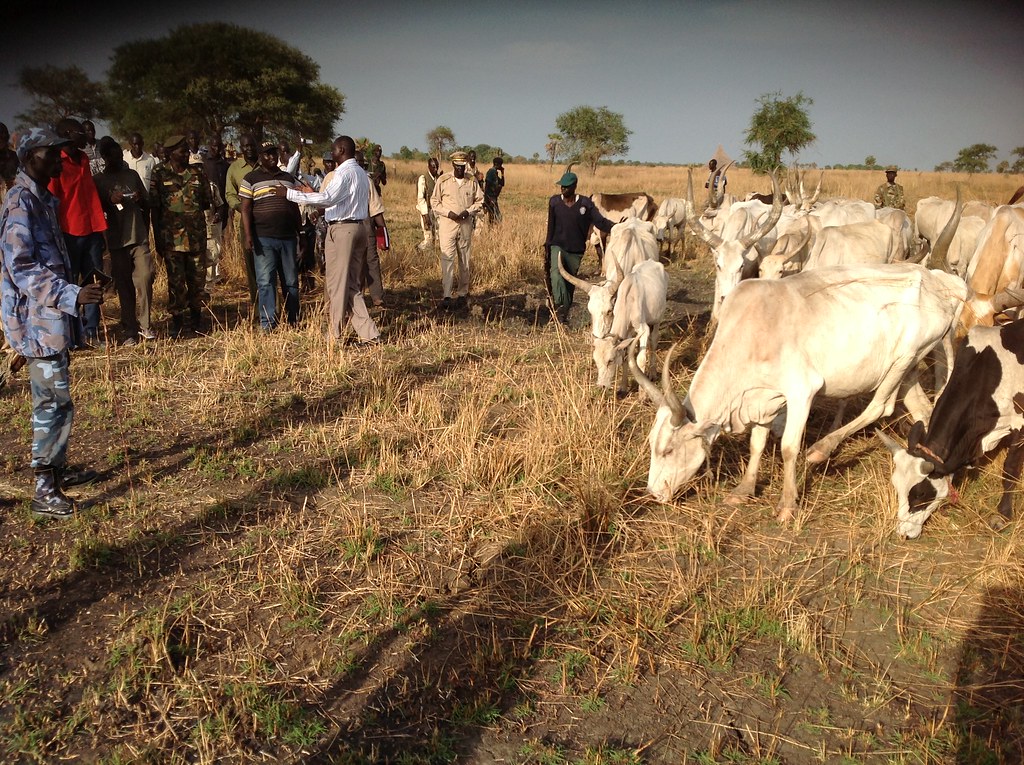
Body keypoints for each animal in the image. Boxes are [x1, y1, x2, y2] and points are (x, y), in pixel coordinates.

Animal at [593, 260, 667, 391]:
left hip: (658, 318)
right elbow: (626, 358)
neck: (628, 301)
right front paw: (623, 387)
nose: (601, 386)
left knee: (653, 341)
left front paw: (642, 391)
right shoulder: (628, 333)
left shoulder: (643, 329)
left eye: (610, 361)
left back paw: (652, 373)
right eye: (596, 361)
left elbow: (641, 359)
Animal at [628, 236, 968, 522]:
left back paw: (822, 449)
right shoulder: (763, 397)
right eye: (651, 444)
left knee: (879, 407)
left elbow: (788, 447)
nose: (654, 493)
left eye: (668, 450)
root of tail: (944, 284)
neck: (751, 333)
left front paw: (788, 504)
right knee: (923, 410)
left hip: (902, 361)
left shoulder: (801, 392)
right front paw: (745, 489)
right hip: (910, 368)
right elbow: (757, 442)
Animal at [879, 319, 1024, 539]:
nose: (903, 533)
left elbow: (1010, 470)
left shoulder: (1019, 423)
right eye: (896, 486)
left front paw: (1003, 515)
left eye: (920, 492)